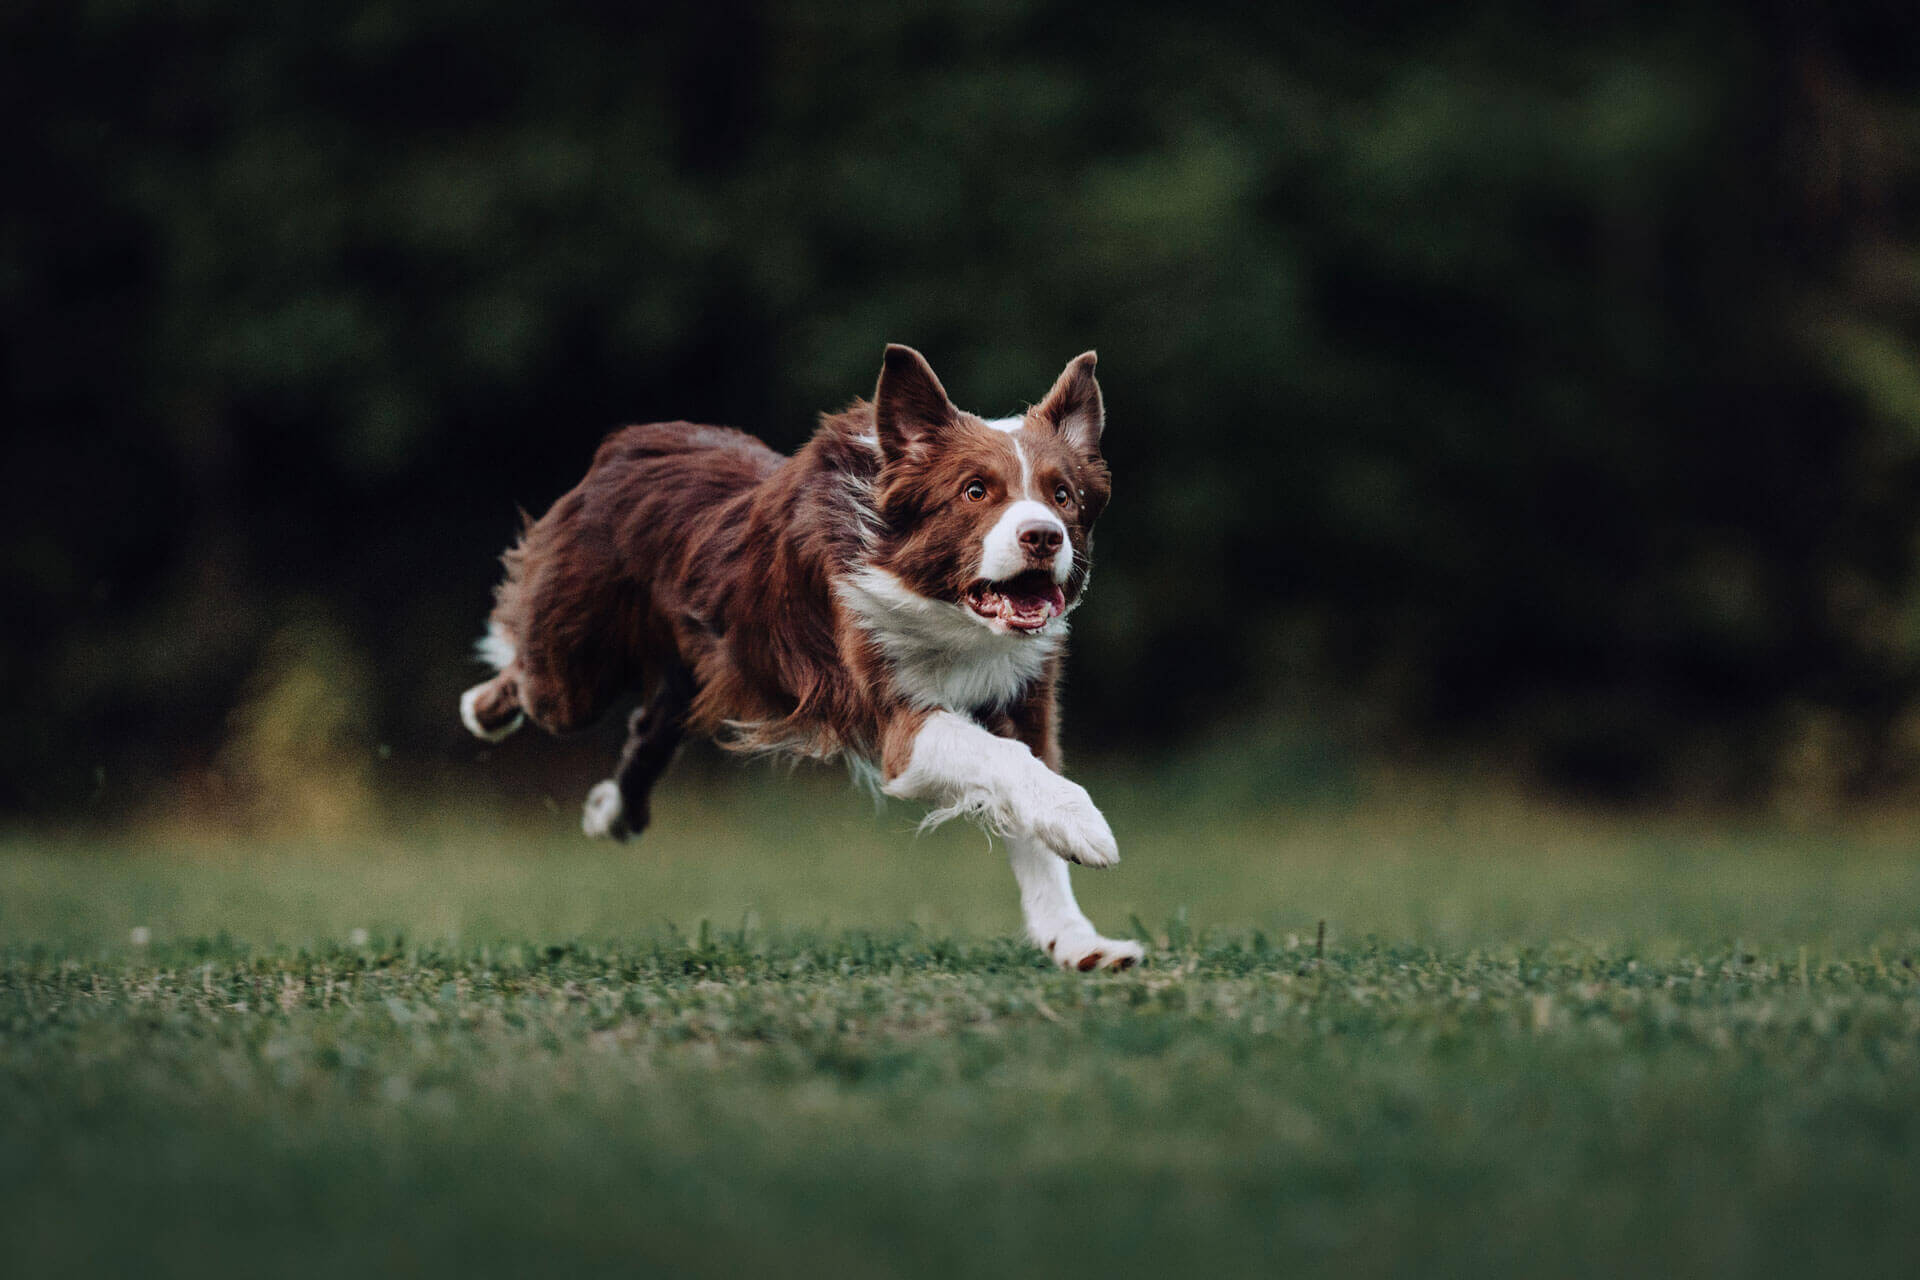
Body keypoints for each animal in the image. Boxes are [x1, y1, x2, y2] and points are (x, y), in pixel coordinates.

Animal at [460, 347, 1136, 971]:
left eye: (1063, 496)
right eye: (975, 491)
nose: (1043, 536)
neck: (948, 613)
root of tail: (628, 440)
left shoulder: (1024, 698)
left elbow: (1031, 802)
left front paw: (1077, 941)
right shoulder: (892, 713)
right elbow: (1005, 760)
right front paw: (1085, 824)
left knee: (650, 724)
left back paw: (612, 813)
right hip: (574, 667)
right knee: (529, 673)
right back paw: (482, 709)